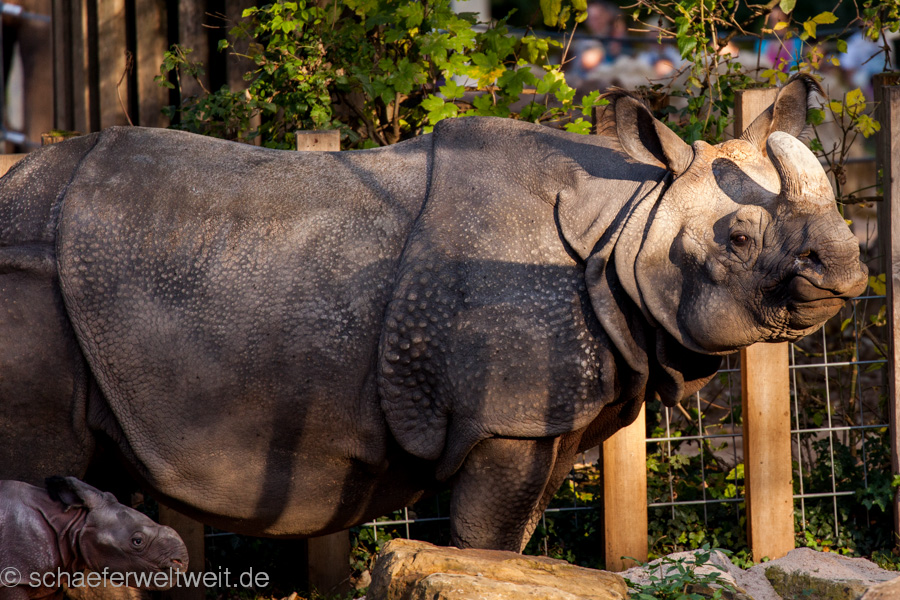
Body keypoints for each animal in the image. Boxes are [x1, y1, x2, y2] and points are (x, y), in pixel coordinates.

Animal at [0, 75, 866, 551]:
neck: (625, 222)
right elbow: (491, 544)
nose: (850, 270)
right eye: (739, 237)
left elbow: (513, 540)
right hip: (29, 271)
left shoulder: (545, 417)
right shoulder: (507, 417)